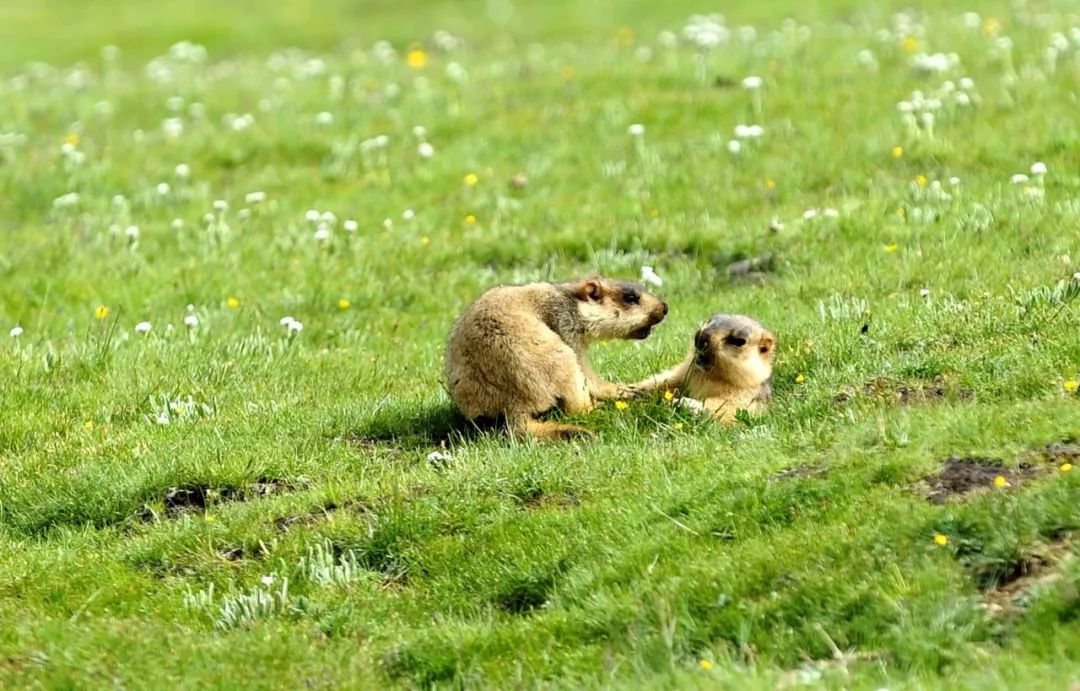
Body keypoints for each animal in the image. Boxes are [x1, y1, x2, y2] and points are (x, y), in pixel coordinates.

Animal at [445, 277, 668, 440]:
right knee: (576, 403)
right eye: (630, 298)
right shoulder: (566, 326)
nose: (665, 307)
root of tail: (514, 405)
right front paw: (624, 390)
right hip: (561, 357)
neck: (571, 300)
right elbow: (587, 372)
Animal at [631, 314, 775, 423]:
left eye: (739, 340)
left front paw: (684, 403)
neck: (708, 376)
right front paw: (632, 389)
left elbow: (729, 407)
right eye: (710, 320)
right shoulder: (684, 372)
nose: (701, 335)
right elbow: (667, 380)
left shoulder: (745, 393)